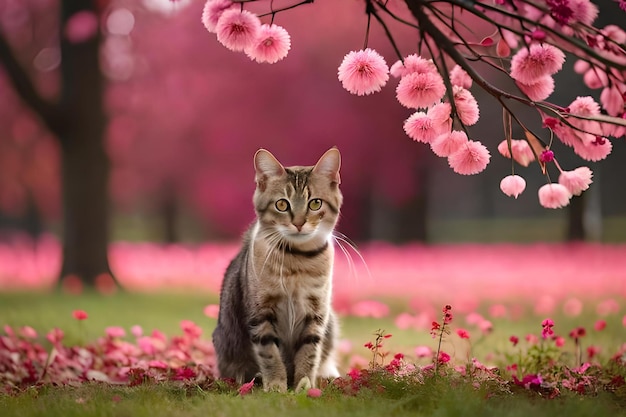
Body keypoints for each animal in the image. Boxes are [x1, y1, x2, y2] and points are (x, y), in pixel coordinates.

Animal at [213, 148, 342, 392]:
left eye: (315, 203)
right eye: (282, 204)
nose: (299, 223)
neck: (297, 260)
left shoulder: (316, 315)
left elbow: (309, 353)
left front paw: (303, 385)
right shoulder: (260, 314)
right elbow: (270, 353)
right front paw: (275, 385)